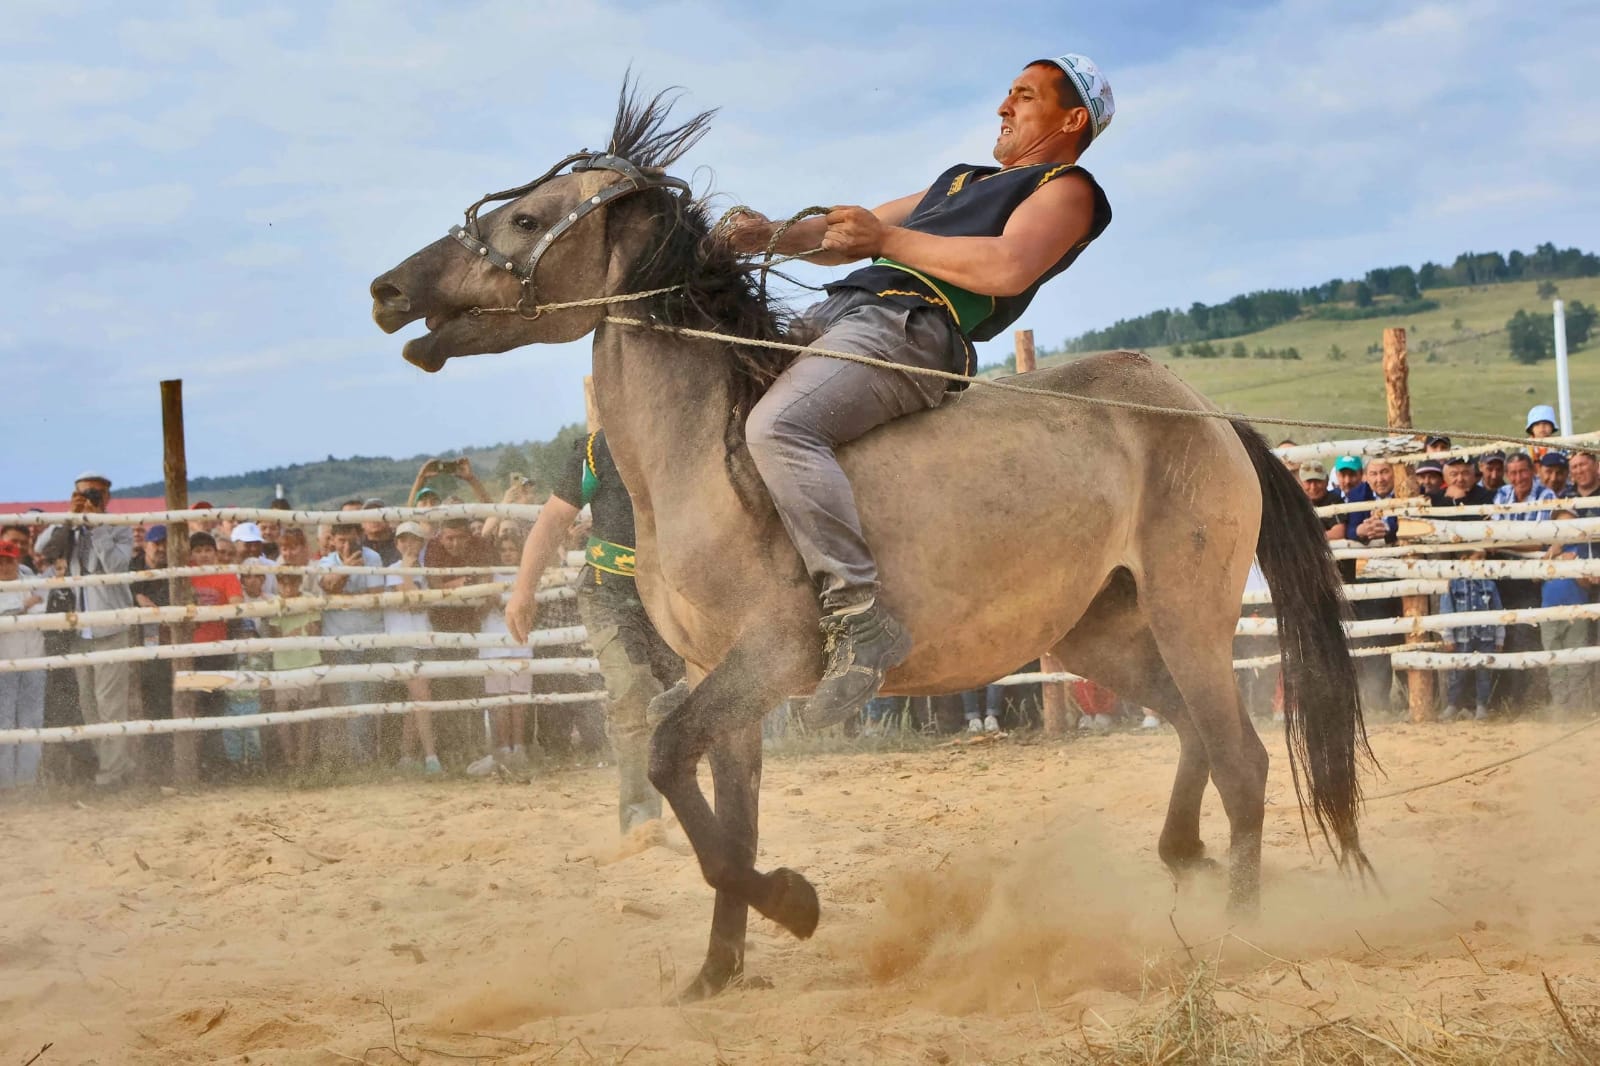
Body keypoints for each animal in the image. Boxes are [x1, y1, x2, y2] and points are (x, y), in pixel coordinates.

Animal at [371, 80, 1376, 998]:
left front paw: (794, 903)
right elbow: (724, 818)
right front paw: (717, 972)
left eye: (527, 217)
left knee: (1242, 759)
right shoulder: (721, 677)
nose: (387, 290)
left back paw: (1240, 929)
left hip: (1189, 611)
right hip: (1102, 632)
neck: (707, 451)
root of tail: (1206, 417)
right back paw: (1184, 859)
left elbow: (668, 762)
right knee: (1195, 734)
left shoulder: (771, 655)